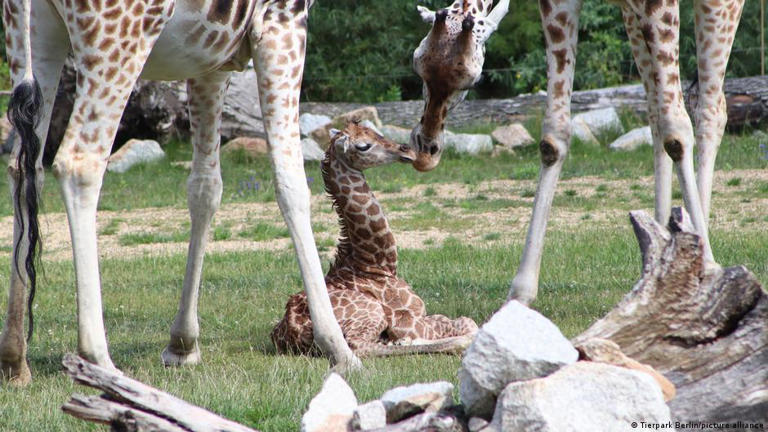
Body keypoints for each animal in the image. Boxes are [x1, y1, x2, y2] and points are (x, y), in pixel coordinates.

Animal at [0, 0, 360, 384]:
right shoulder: (283, 20)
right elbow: (290, 180)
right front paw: (338, 347)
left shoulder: (212, 60)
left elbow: (205, 187)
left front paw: (182, 344)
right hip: (118, 37)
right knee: (79, 162)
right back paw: (99, 360)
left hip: (33, 35)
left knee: (25, 168)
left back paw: (15, 359)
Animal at [270, 123, 476, 356]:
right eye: (363, 146)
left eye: (375, 131)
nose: (407, 150)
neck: (376, 265)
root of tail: (291, 332)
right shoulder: (406, 321)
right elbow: (468, 322)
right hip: (372, 312)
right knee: (358, 346)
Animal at [414, 0, 744, 304]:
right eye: (418, 64)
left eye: (473, 79)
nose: (425, 150)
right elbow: (553, 137)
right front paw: (520, 294)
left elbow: (676, 129)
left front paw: (707, 269)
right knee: (655, 111)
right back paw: (656, 255)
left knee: (709, 109)